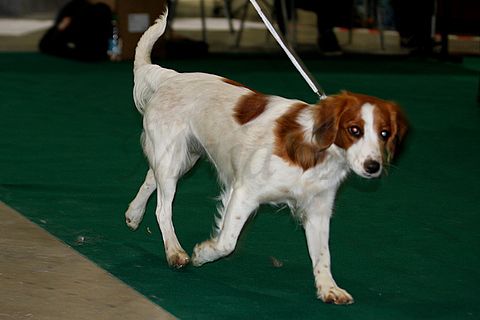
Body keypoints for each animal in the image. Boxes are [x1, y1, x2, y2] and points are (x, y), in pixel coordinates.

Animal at [124, 9, 404, 304]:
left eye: (385, 133)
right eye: (354, 130)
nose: (373, 166)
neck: (312, 151)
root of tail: (171, 77)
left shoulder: (318, 208)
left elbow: (322, 254)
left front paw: (329, 287)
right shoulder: (244, 192)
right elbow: (227, 242)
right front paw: (203, 253)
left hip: (183, 158)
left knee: (150, 178)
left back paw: (134, 214)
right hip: (173, 158)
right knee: (162, 208)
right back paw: (175, 251)